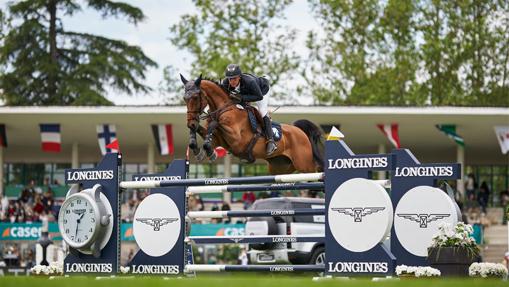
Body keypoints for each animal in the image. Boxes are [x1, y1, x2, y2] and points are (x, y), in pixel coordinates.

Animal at [179, 74, 322, 174]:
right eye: (185, 98)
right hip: (281, 167)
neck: (224, 108)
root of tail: (300, 131)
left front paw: (209, 152)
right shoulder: (219, 140)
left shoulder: (236, 138)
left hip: (305, 165)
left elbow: (214, 124)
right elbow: (205, 134)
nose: (191, 123)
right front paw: (200, 150)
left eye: (195, 97)